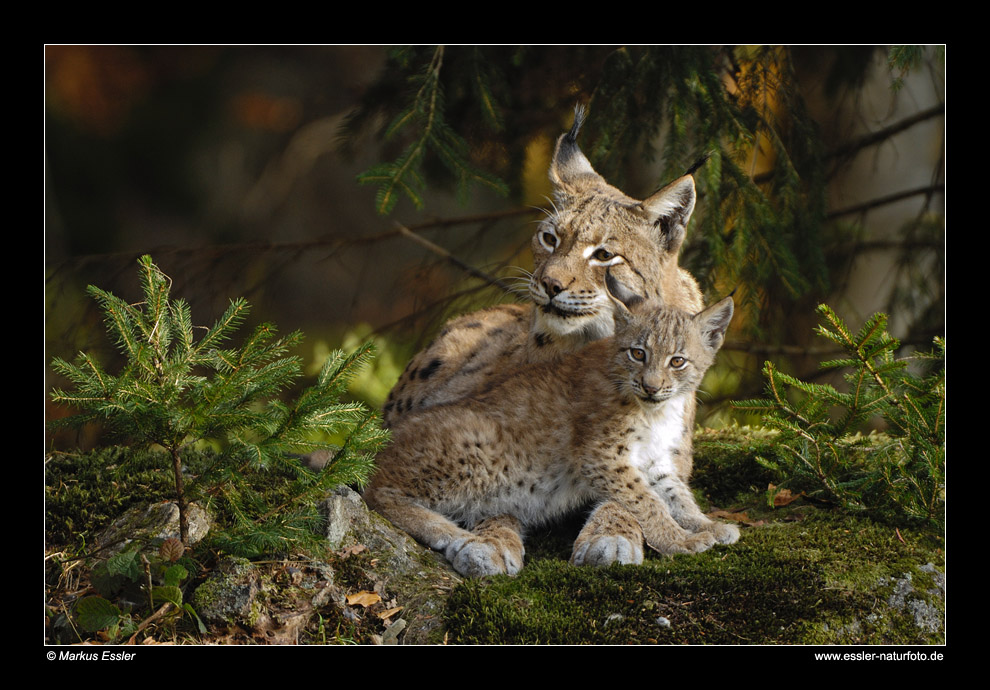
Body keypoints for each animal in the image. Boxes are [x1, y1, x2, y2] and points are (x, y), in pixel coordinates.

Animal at [368, 292, 740, 572]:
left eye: (677, 361)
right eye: (638, 353)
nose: (651, 386)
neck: (659, 410)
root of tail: (384, 438)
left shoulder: (656, 460)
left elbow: (678, 497)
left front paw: (708, 525)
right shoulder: (601, 455)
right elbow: (647, 503)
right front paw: (681, 541)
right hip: (480, 452)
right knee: (377, 491)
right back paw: (453, 534)